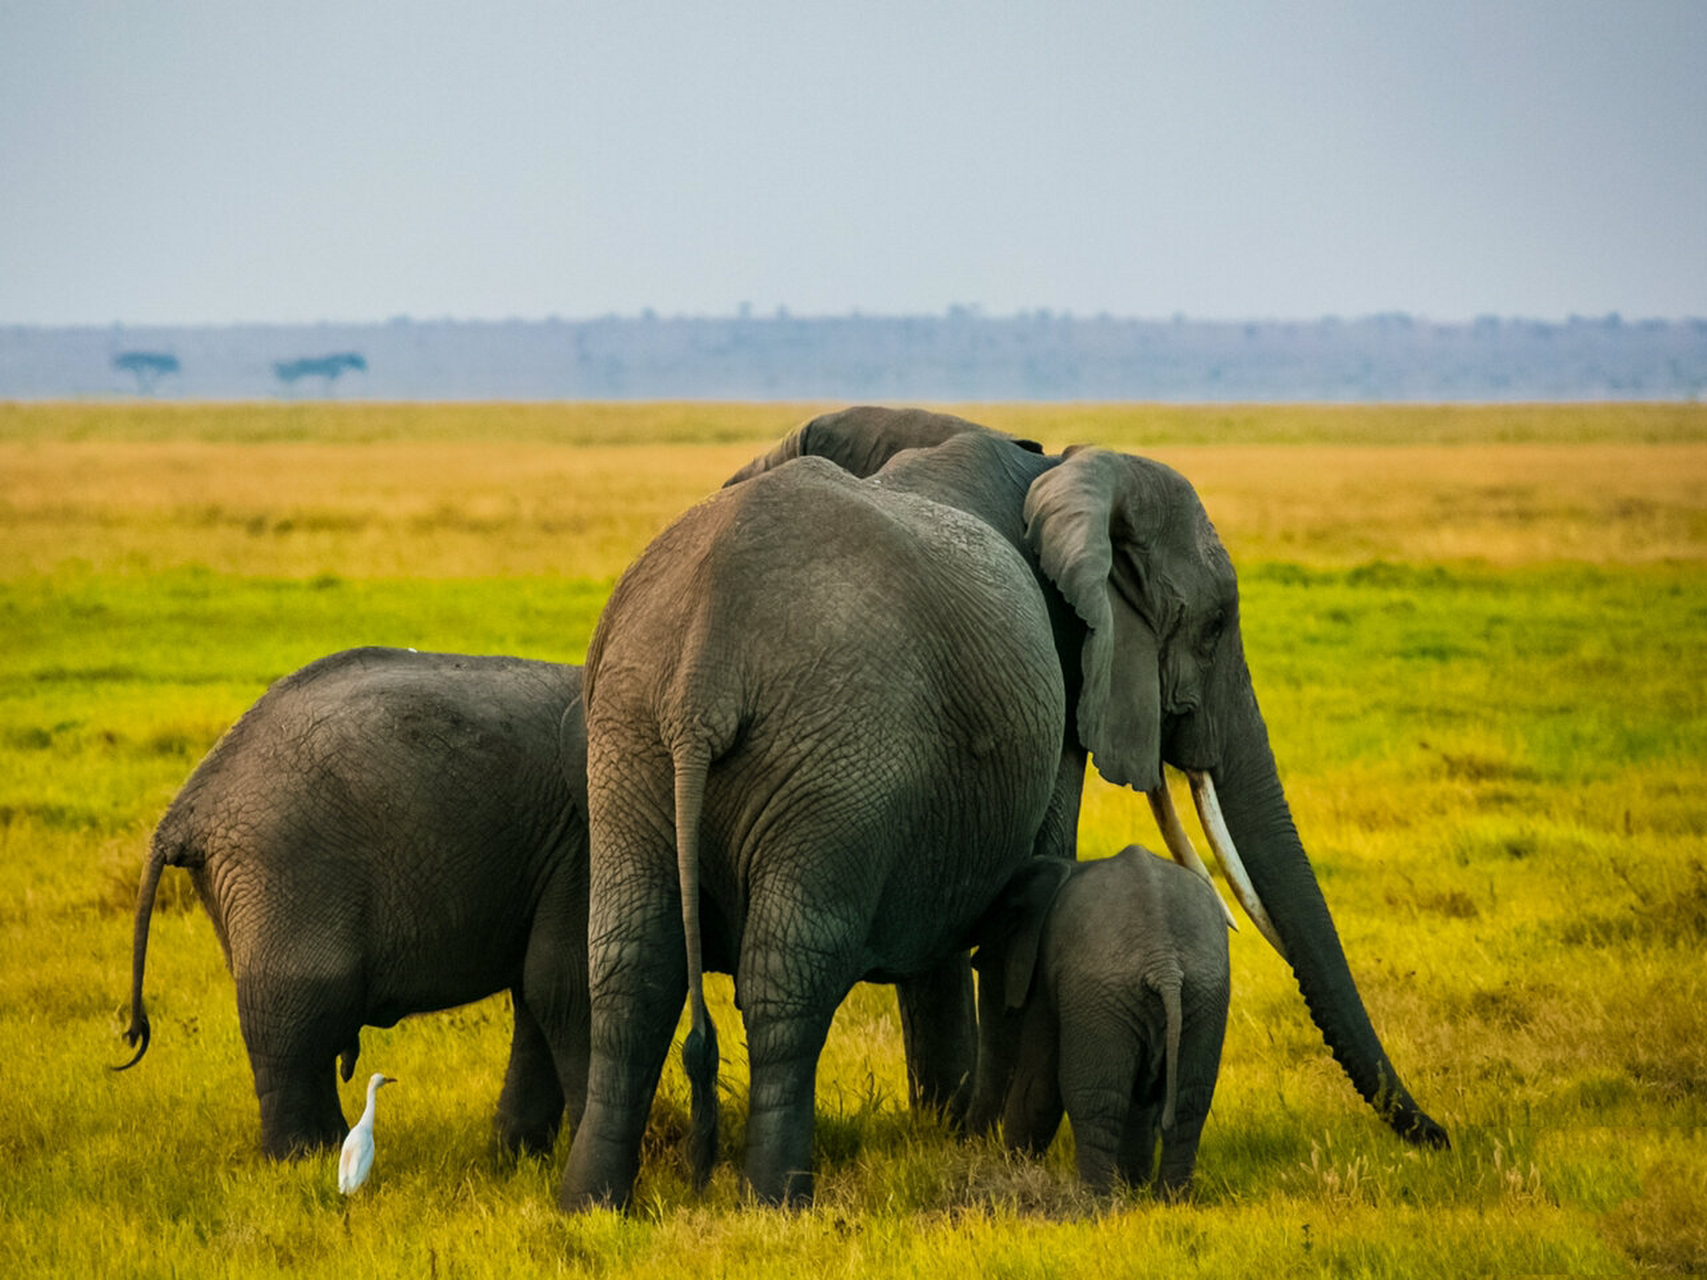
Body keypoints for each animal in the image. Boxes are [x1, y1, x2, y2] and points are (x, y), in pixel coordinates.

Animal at [116, 647, 591, 1160]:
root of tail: (183, 811)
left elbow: (539, 991)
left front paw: (518, 1159)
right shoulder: (579, 843)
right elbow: (566, 982)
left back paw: (324, 1150)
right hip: (287, 866)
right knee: (300, 1015)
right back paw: (303, 1158)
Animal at [563, 454, 1071, 1210]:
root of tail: (704, 672)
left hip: (631, 737)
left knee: (632, 963)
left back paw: (591, 1205)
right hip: (838, 759)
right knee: (789, 972)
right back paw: (775, 1202)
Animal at [724, 406, 1449, 1154]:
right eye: (1214, 627)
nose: (1440, 1136)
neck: (1058, 472)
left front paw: (947, 1131)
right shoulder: (1059, 663)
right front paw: (986, 1140)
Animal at [971, 844, 1230, 1196]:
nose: (974, 1146)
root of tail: (1164, 965)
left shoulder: (1048, 979)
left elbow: (1038, 1084)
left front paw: (1016, 1167)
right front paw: (1134, 1187)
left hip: (1101, 996)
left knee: (1096, 1099)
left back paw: (1097, 1200)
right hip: (1203, 993)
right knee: (1190, 1099)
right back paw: (1170, 1200)